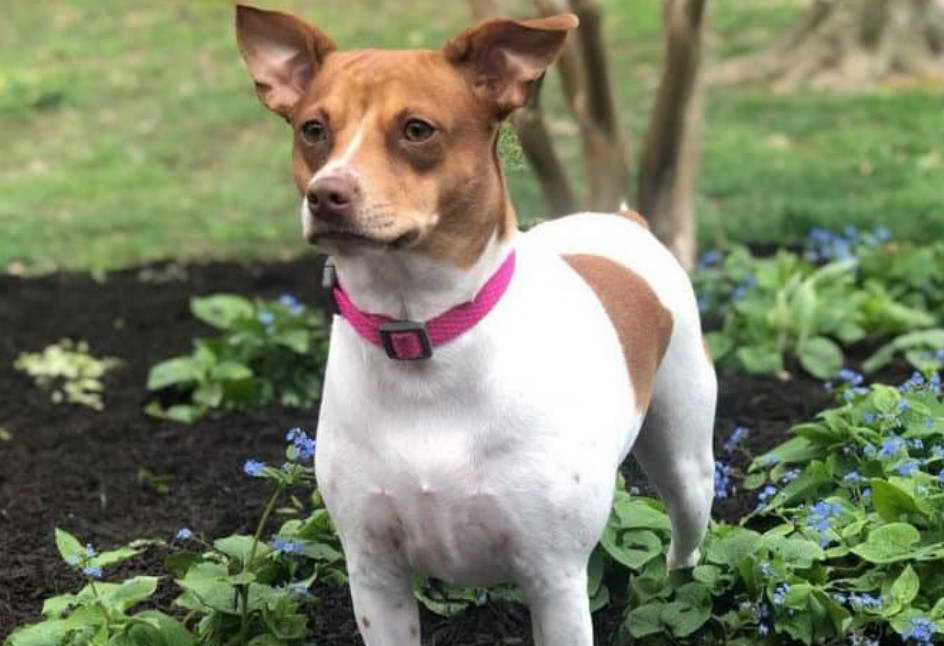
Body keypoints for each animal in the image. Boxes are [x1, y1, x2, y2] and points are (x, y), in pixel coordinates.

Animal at [236, 6, 716, 646]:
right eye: (313, 130)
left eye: (417, 129)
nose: (326, 193)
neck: (421, 335)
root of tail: (624, 220)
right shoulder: (374, 574)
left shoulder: (555, 581)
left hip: (686, 463)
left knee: (685, 541)